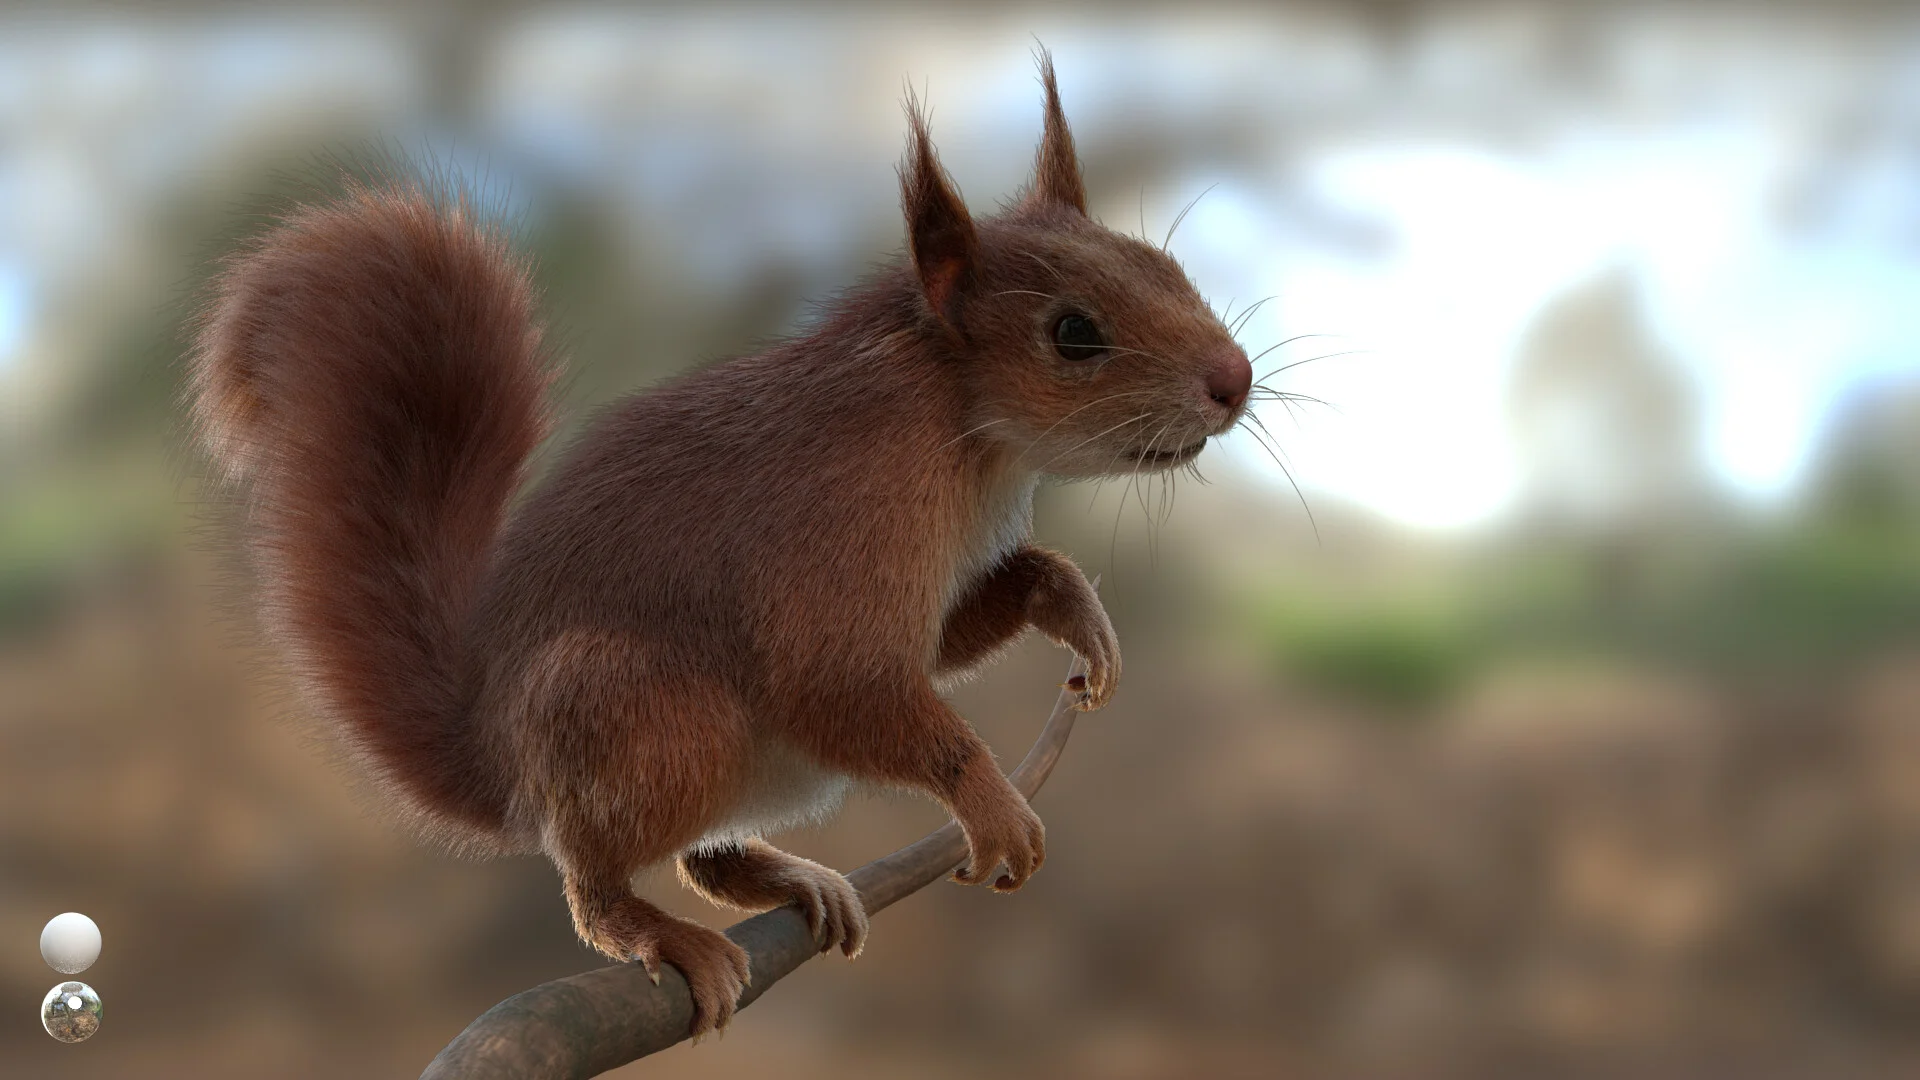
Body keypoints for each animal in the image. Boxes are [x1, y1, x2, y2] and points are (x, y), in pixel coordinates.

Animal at [186, 52, 1252, 1037]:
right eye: (1073, 334)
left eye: (1168, 267)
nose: (1234, 380)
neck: (967, 431)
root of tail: (497, 760)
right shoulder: (838, 540)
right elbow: (844, 683)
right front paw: (991, 804)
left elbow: (966, 627)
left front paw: (1077, 616)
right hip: (645, 718)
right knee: (598, 874)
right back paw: (655, 931)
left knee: (709, 853)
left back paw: (793, 882)